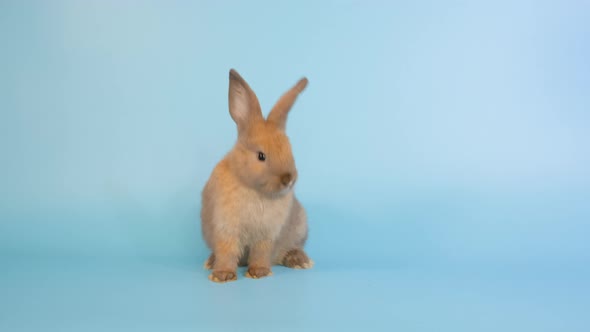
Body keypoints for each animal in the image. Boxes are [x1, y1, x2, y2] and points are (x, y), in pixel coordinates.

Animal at [201, 68, 314, 282]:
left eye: (290, 150)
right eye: (261, 156)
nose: (288, 179)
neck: (253, 190)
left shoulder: (266, 234)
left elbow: (261, 252)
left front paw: (259, 273)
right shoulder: (226, 230)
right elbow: (227, 252)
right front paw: (222, 275)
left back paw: (300, 261)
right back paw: (211, 262)